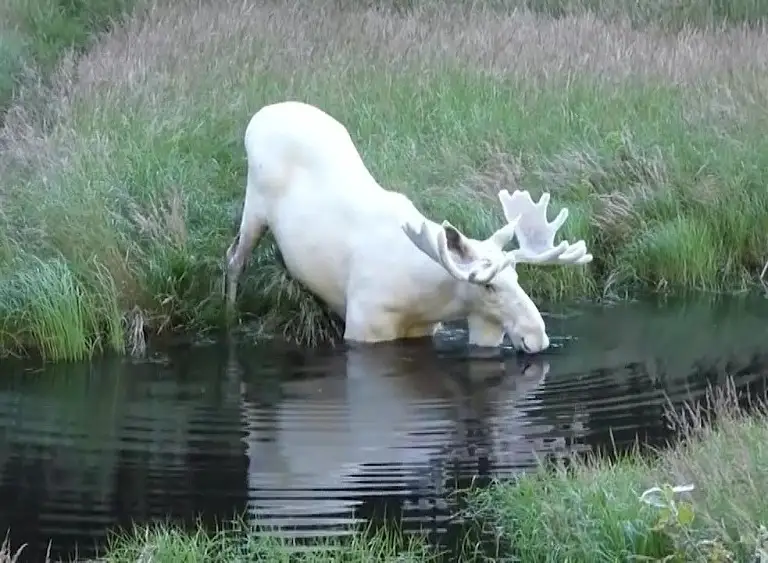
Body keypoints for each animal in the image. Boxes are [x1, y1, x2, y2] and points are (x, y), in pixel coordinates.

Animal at [224, 101, 592, 354]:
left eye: (517, 277)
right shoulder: (364, 325)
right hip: (254, 205)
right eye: (489, 286)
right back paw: (229, 312)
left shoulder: (423, 330)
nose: (537, 337)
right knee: (234, 258)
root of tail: (259, 116)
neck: (427, 300)